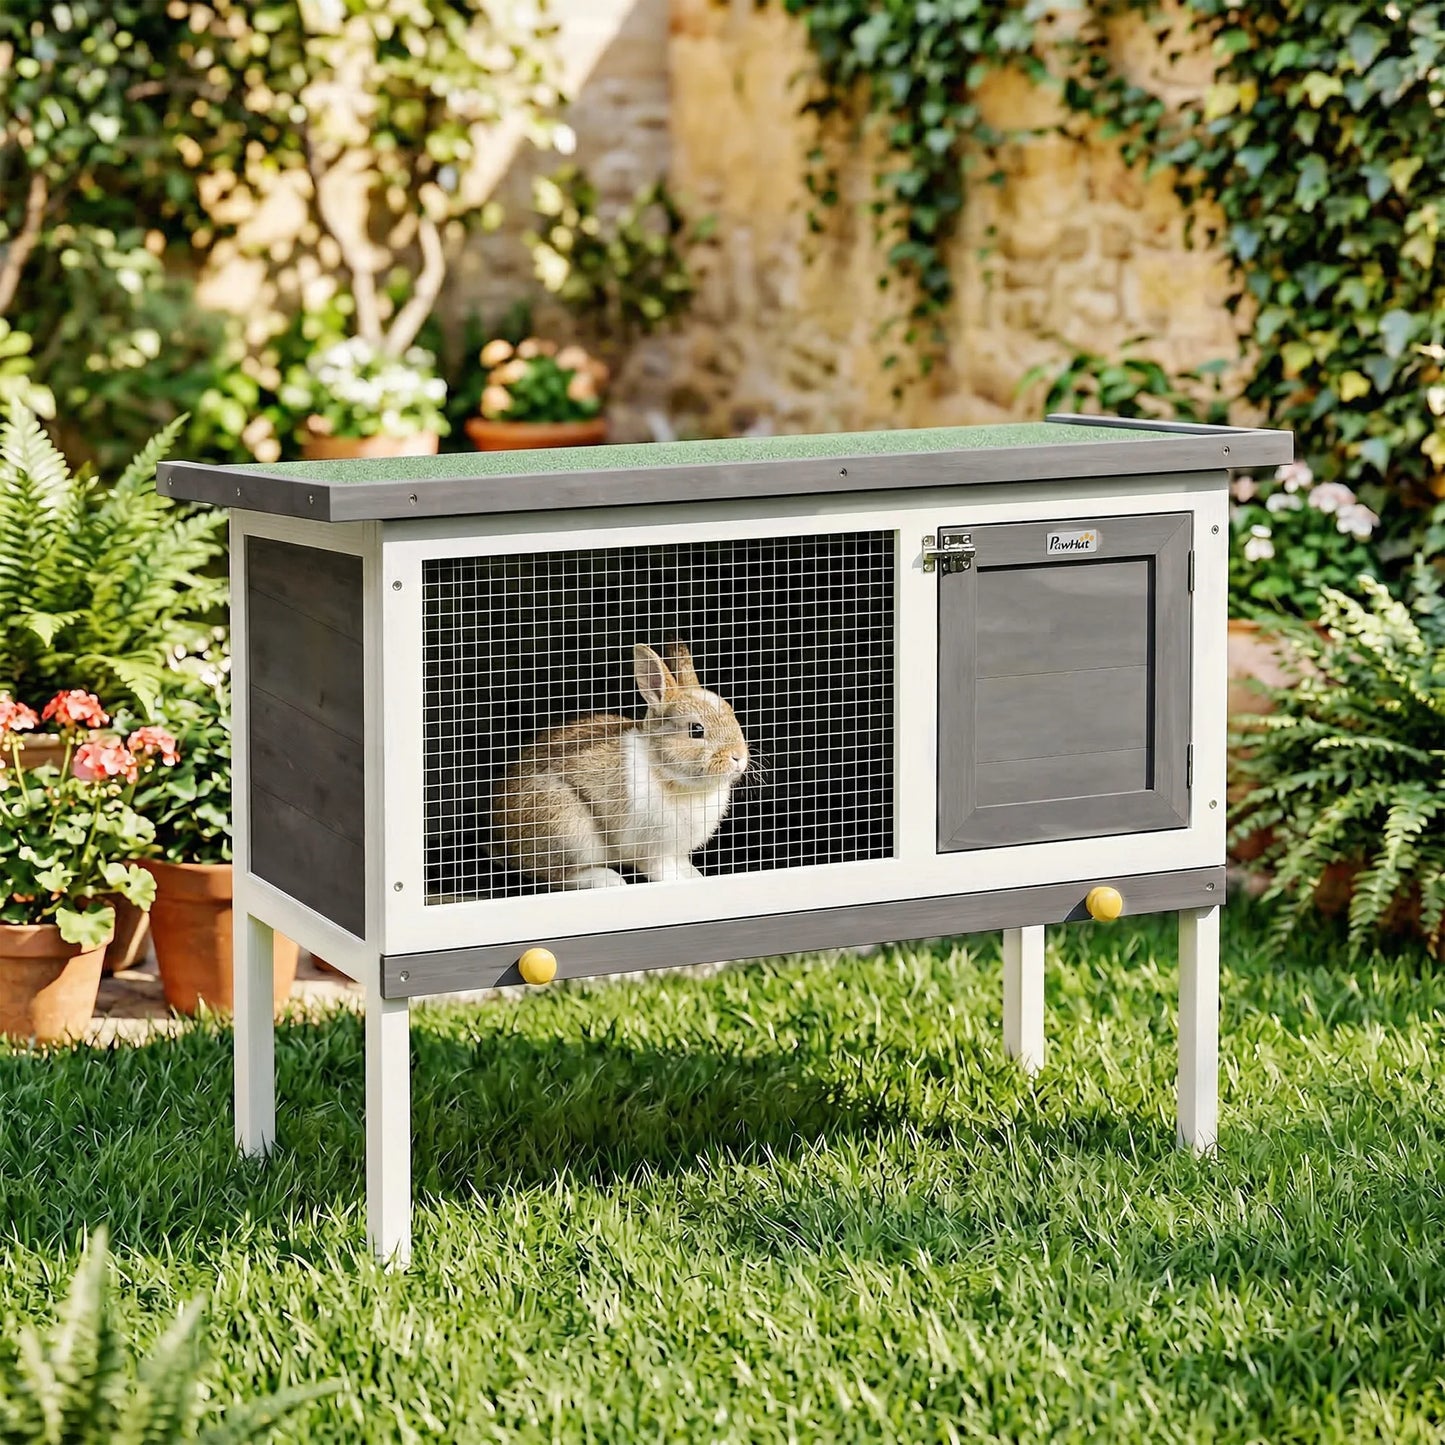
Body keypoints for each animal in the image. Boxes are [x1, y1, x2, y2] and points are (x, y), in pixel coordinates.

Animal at [489, 641, 750, 890]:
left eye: (732, 712)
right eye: (696, 730)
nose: (738, 757)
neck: (667, 773)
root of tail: (500, 841)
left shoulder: (677, 852)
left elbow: (684, 866)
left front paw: (697, 878)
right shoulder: (654, 851)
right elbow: (663, 872)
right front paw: (680, 884)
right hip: (570, 831)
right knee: (553, 876)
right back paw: (608, 879)